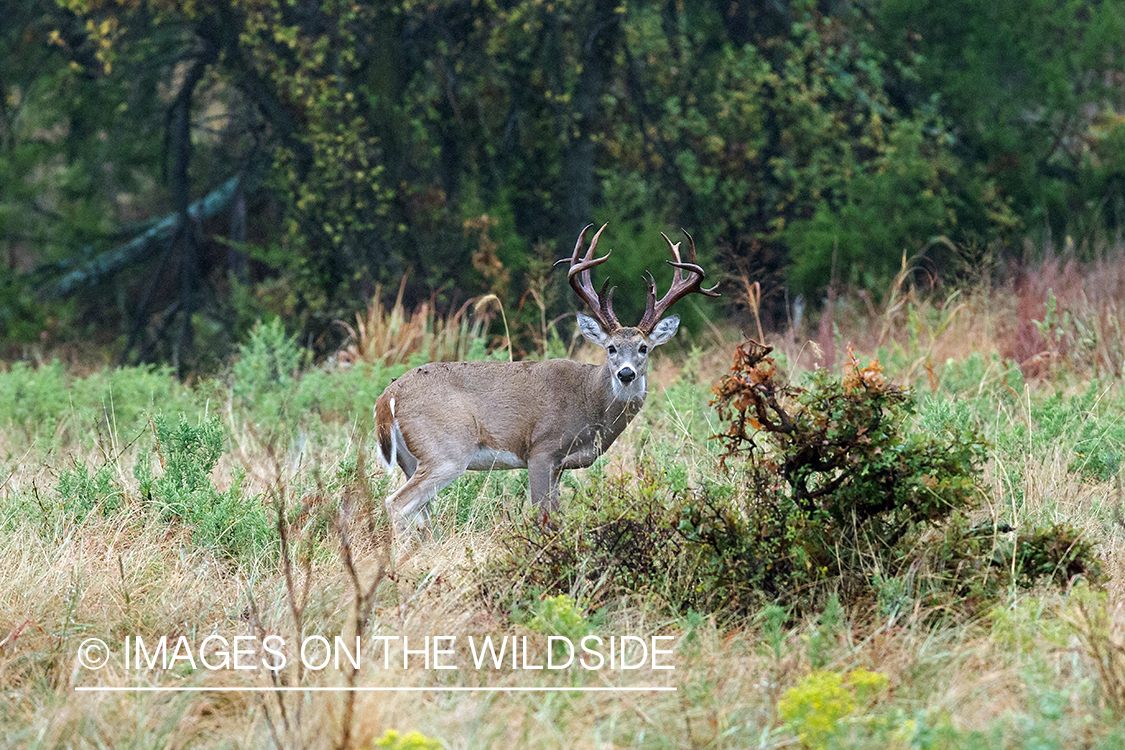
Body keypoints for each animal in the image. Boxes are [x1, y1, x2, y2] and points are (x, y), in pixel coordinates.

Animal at [373, 222, 715, 539]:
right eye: (611, 348)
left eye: (644, 348)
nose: (626, 373)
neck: (589, 400)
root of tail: (386, 398)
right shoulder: (541, 450)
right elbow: (543, 517)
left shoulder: (559, 464)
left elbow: (556, 515)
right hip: (446, 450)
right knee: (397, 503)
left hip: (411, 460)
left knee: (421, 513)